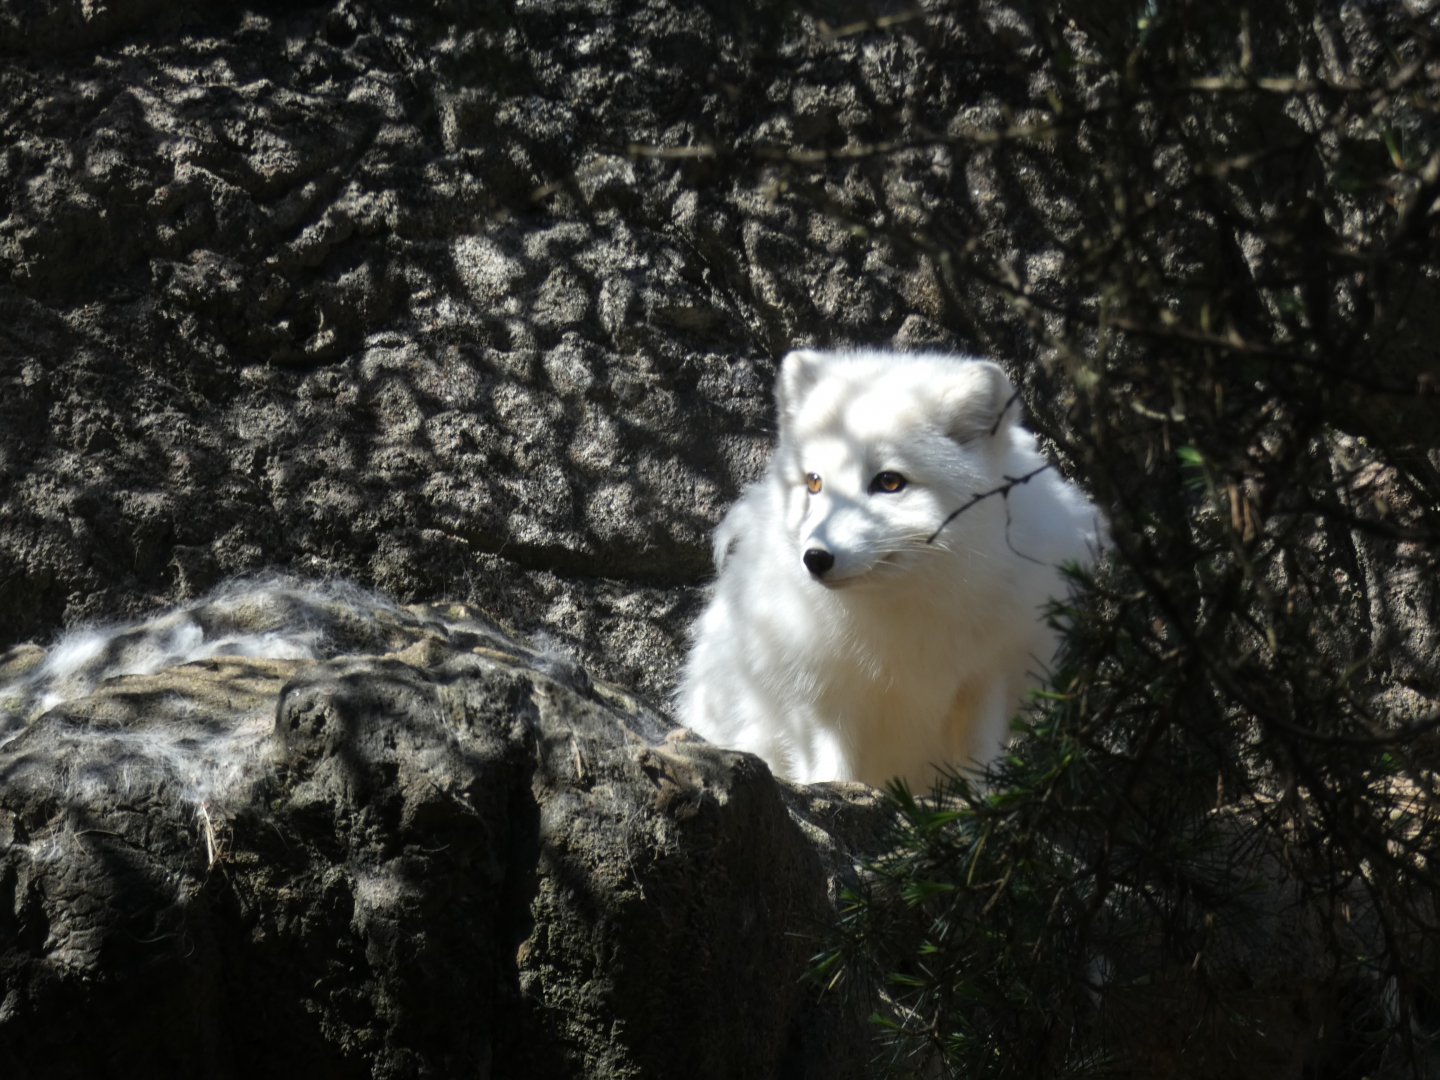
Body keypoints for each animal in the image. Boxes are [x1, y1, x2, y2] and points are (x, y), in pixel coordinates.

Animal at [675, 348, 1103, 791]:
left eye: (890, 482)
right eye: (814, 483)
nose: (816, 558)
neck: (902, 611)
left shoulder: (990, 675)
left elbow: (980, 757)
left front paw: (982, 802)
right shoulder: (821, 691)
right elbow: (832, 766)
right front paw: (838, 793)